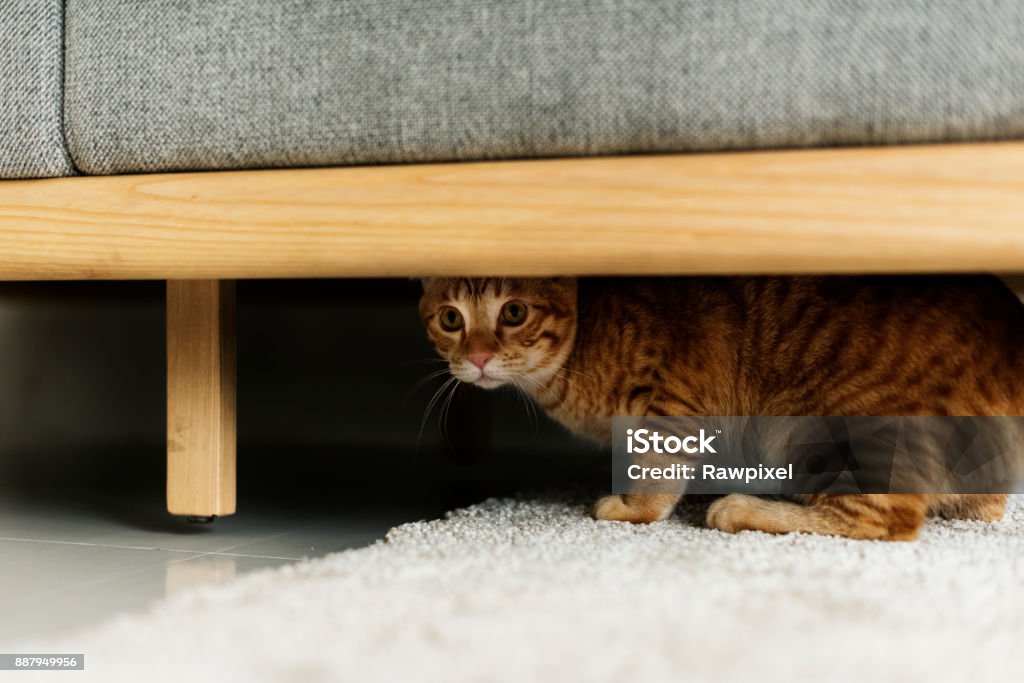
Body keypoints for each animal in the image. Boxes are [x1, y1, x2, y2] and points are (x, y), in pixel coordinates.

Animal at [417, 276, 1024, 540]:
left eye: (513, 311)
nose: (477, 357)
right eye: (450, 319)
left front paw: (632, 508)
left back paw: (744, 509)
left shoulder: (674, 400)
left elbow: (656, 477)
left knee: (883, 519)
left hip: (830, 427)